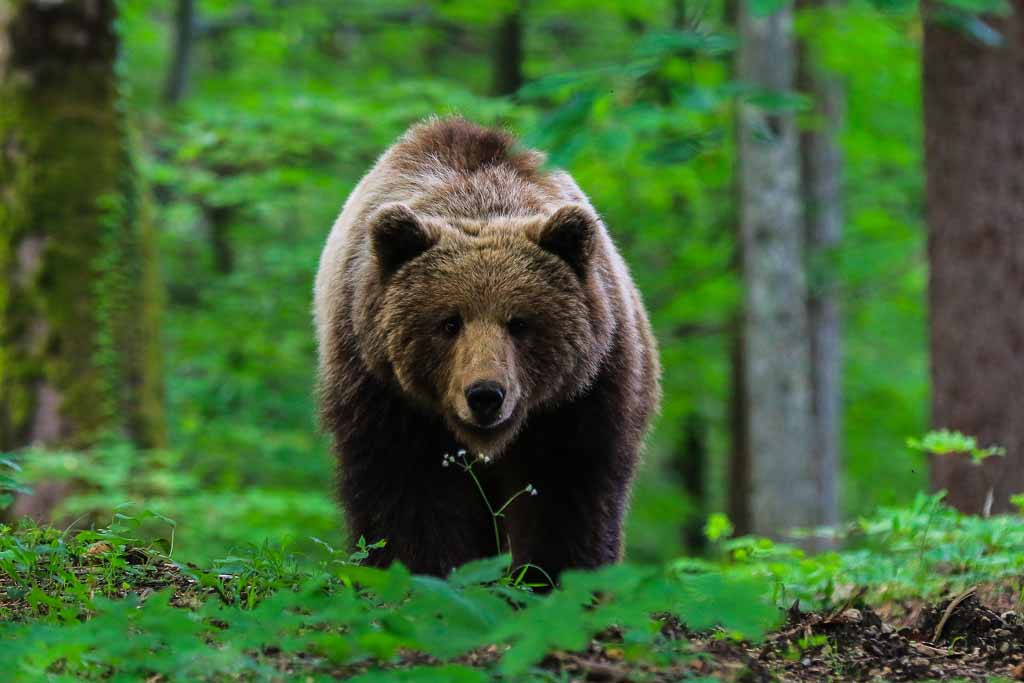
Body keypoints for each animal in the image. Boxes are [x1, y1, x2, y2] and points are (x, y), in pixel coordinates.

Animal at [314, 117, 660, 581]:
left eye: (520, 323)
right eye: (449, 322)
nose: (484, 395)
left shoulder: (582, 398)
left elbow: (568, 496)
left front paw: (551, 579)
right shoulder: (383, 392)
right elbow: (409, 498)